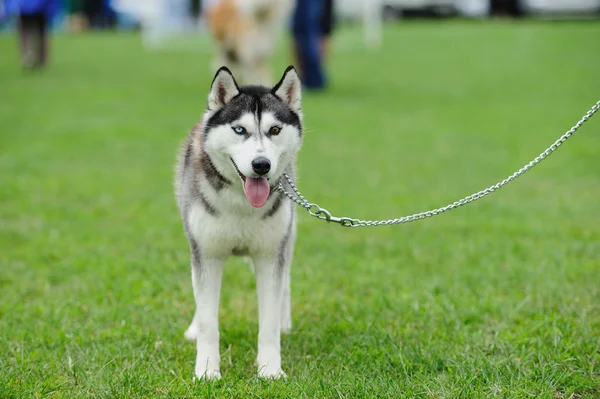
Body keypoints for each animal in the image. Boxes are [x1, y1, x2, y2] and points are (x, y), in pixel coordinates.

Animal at [176, 64, 302, 380]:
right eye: (239, 129)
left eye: (274, 129)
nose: (261, 165)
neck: (242, 204)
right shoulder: (207, 254)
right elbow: (208, 320)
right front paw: (207, 371)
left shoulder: (269, 256)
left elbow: (268, 323)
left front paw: (270, 370)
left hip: (287, 239)